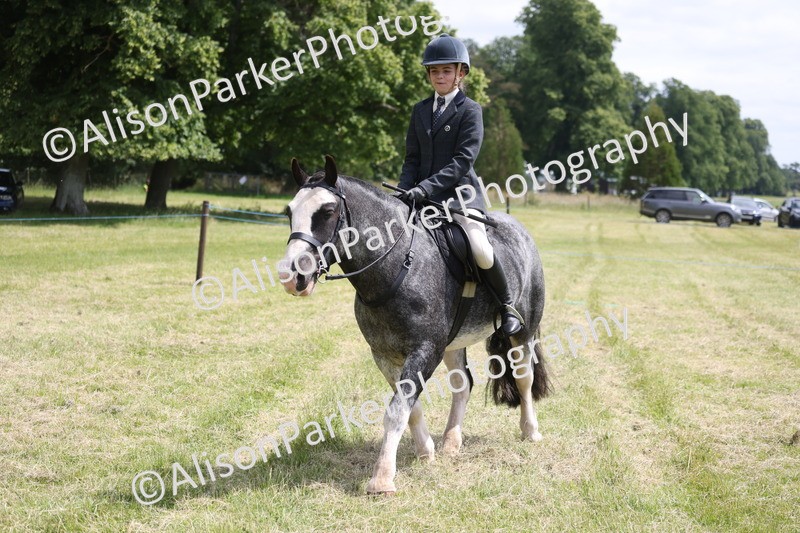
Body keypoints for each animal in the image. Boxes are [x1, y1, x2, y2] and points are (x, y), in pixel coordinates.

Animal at [280, 155, 549, 494]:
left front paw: (382, 478)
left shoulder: (425, 350)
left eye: (327, 211)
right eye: (289, 212)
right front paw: (426, 452)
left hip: (522, 333)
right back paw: (451, 442)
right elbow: (409, 407)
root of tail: (520, 231)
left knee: (524, 377)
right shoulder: (385, 355)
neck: (396, 264)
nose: (291, 276)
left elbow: (397, 410)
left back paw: (530, 431)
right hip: (453, 343)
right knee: (463, 384)